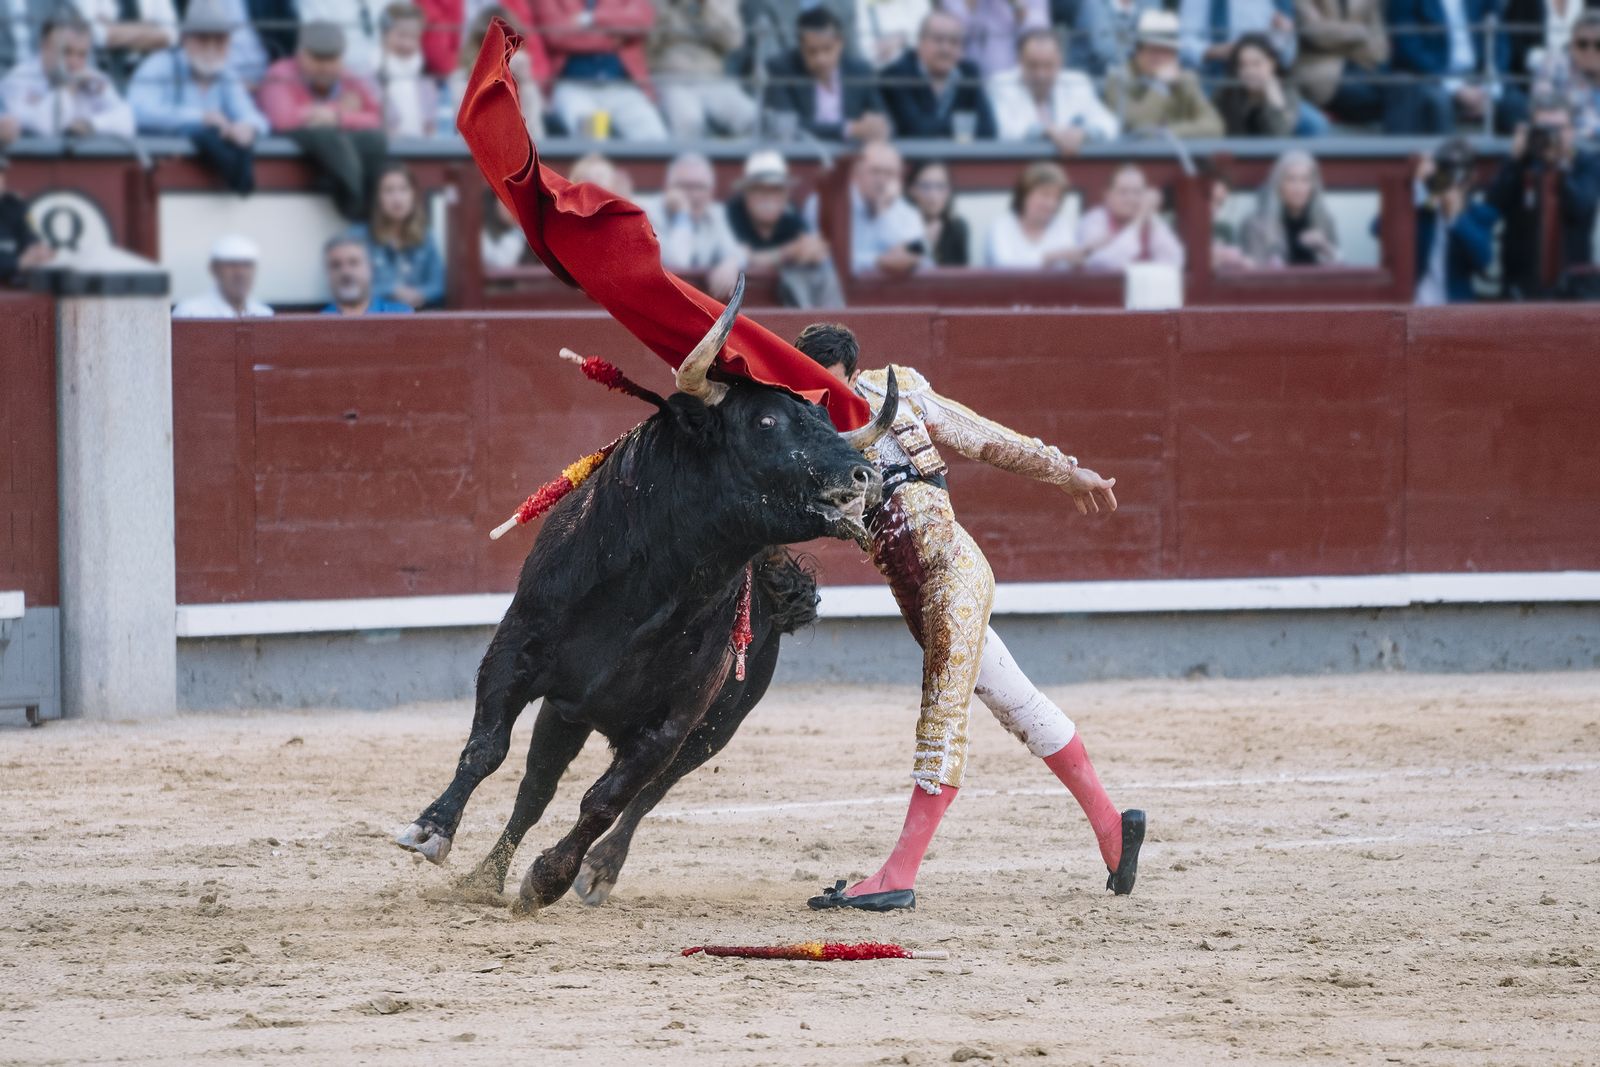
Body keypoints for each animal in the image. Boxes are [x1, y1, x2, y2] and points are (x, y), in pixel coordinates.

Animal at [393, 279, 896, 915]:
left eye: (825, 421)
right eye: (765, 420)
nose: (866, 477)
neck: (651, 590)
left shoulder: (670, 726)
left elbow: (606, 801)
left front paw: (548, 879)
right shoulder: (516, 654)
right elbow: (488, 748)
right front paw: (431, 831)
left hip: (715, 729)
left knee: (647, 795)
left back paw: (597, 871)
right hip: (569, 712)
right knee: (536, 787)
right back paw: (486, 876)